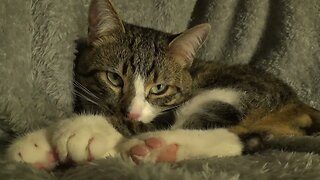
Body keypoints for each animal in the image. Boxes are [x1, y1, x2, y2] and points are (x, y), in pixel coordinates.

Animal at [5, 0, 320, 170]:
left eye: (159, 89)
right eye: (115, 78)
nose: (130, 111)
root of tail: (298, 102)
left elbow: (143, 121)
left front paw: (82, 130)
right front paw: (38, 145)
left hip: (239, 91)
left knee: (236, 135)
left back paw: (159, 146)